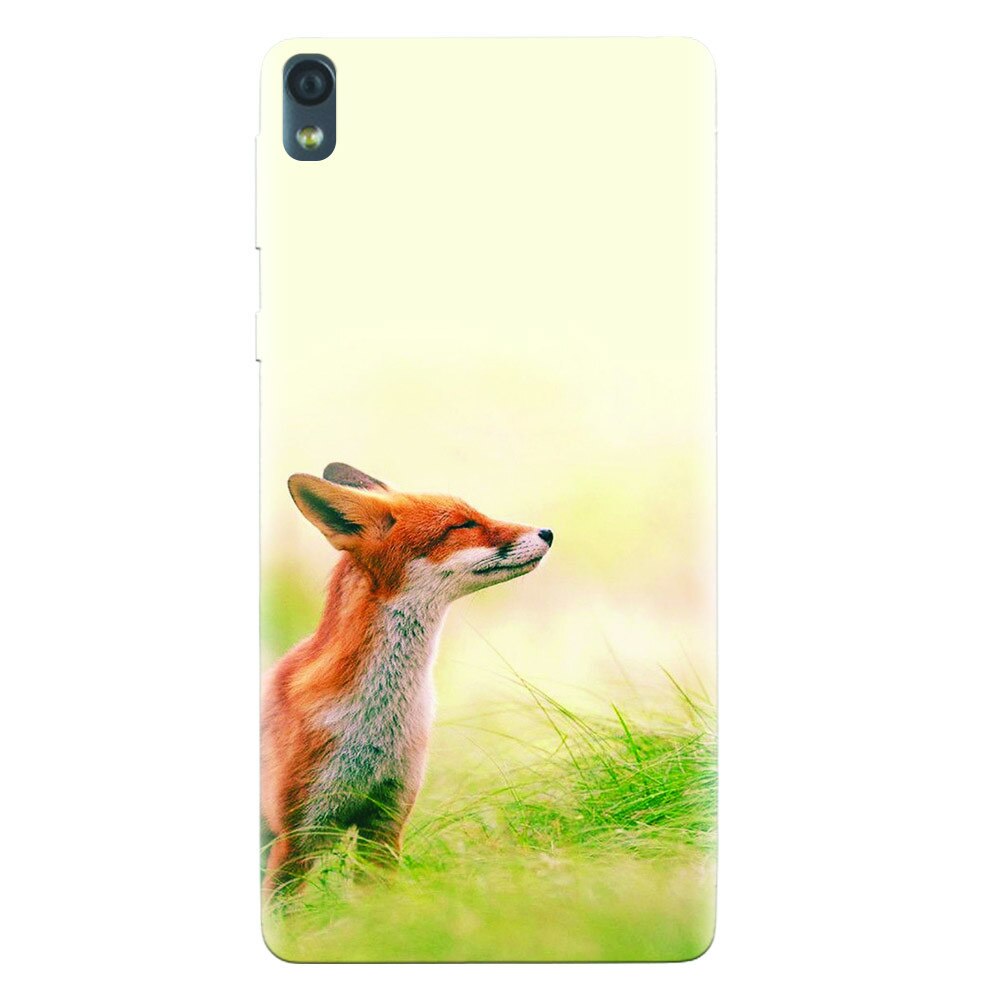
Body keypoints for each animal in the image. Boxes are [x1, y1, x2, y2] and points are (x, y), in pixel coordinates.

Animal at [261, 462, 553, 893]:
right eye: (462, 524)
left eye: (475, 514)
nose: (548, 532)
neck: (376, 723)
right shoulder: (296, 836)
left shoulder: (385, 823)